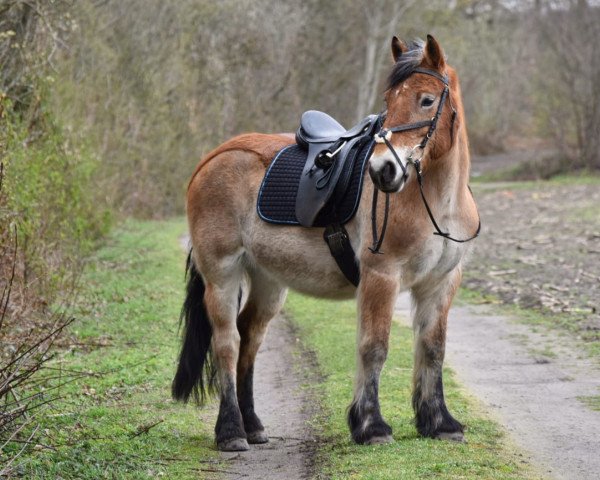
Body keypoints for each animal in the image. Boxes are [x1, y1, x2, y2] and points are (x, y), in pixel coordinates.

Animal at [172, 35, 478, 452]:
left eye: (427, 100)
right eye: (388, 101)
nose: (383, 170)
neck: (433, 200)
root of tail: (211, 160)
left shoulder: (442, 282)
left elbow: (433, 349)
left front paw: (440, 422)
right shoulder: (381, 278)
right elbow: (374, 347)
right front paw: (371, 426)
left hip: (268, 281)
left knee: (249, 338)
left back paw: (253, 425)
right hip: (222, 275)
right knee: (227, 343)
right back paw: (232, 431)